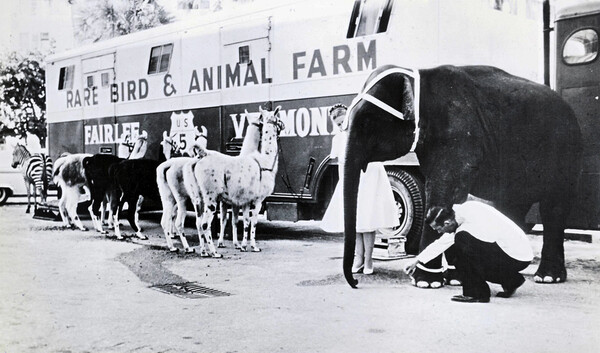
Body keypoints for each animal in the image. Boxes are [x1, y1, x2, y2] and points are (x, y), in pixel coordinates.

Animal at [342, 64, 580, 288]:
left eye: (367, 122)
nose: (355, 283)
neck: (420, 78)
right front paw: (453, 279)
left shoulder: (460, 134)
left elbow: (444, 189)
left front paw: (426, 282)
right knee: (513, 206)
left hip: (565, 151)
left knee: (553, 207)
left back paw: (547, 277)